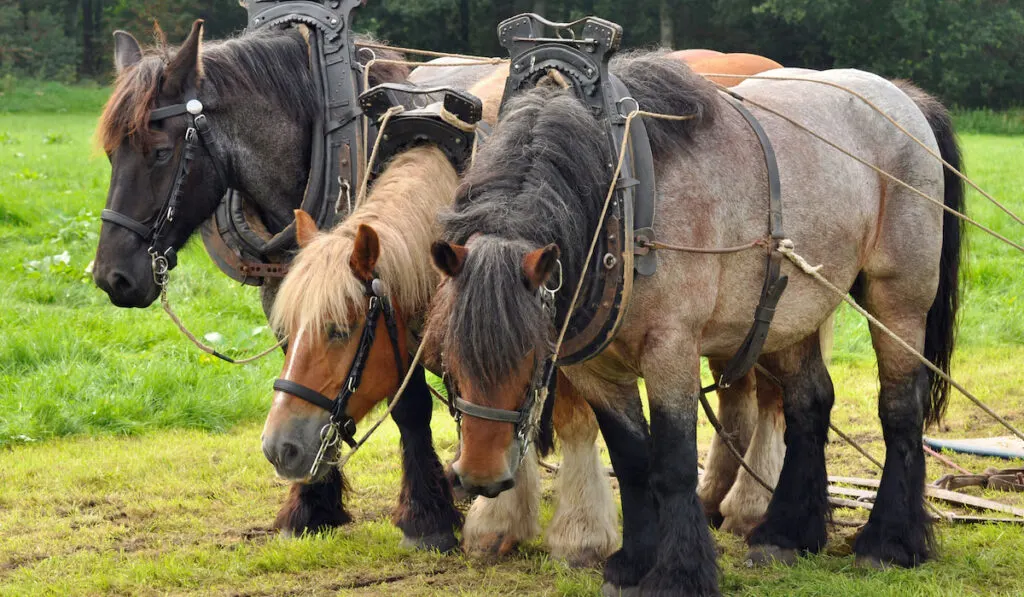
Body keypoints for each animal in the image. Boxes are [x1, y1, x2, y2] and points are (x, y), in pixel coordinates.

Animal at [428, 52, 962, 597]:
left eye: (532, 355)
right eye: (446, 357)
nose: (479, 477)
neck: (621, 202)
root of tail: (900, 95)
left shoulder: (671, 348)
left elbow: (674, 464)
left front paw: (680, 572)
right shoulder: (595, 368)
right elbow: (633, 460)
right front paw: (633, 562)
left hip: (898, 295)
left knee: (900, 408)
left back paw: (889, 542)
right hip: (794, 306)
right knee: (809, 404)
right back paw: (784, 534)